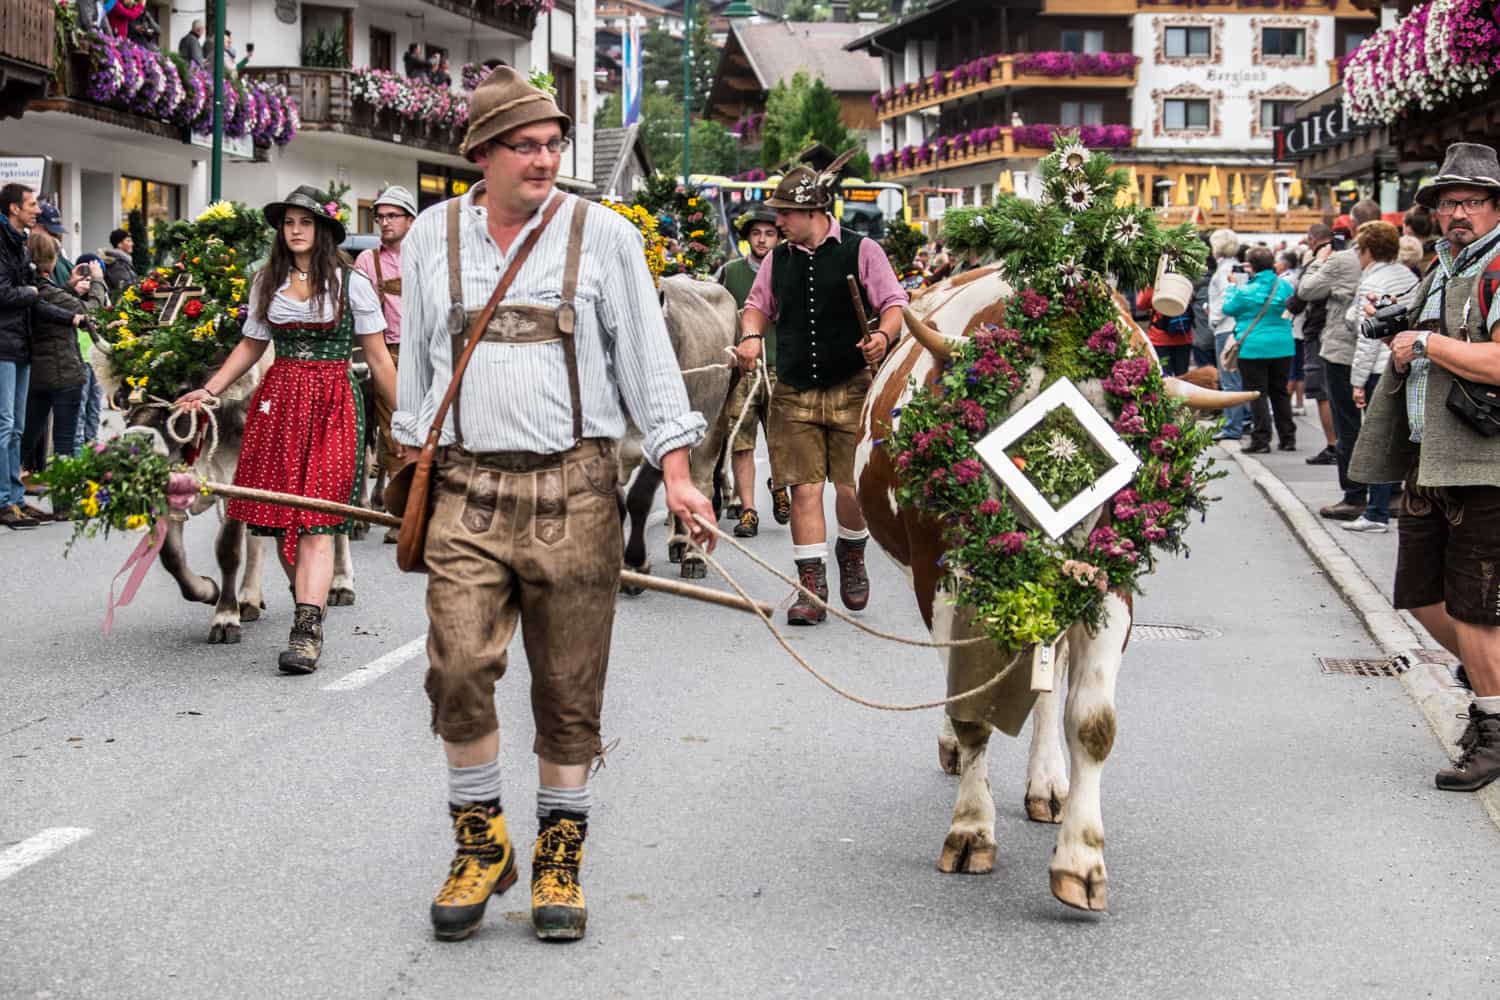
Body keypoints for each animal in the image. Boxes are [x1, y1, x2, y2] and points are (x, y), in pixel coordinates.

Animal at [858, 137, 1254, 911]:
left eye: (1118, 442)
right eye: (1004, 433)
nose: (1050, 552)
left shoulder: (1110, 583)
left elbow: (1091, 720)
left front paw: (1081, 859)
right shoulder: (947, 578)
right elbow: (971, 704)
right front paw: (971, 832)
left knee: (1049, 675)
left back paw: (1047, 783)